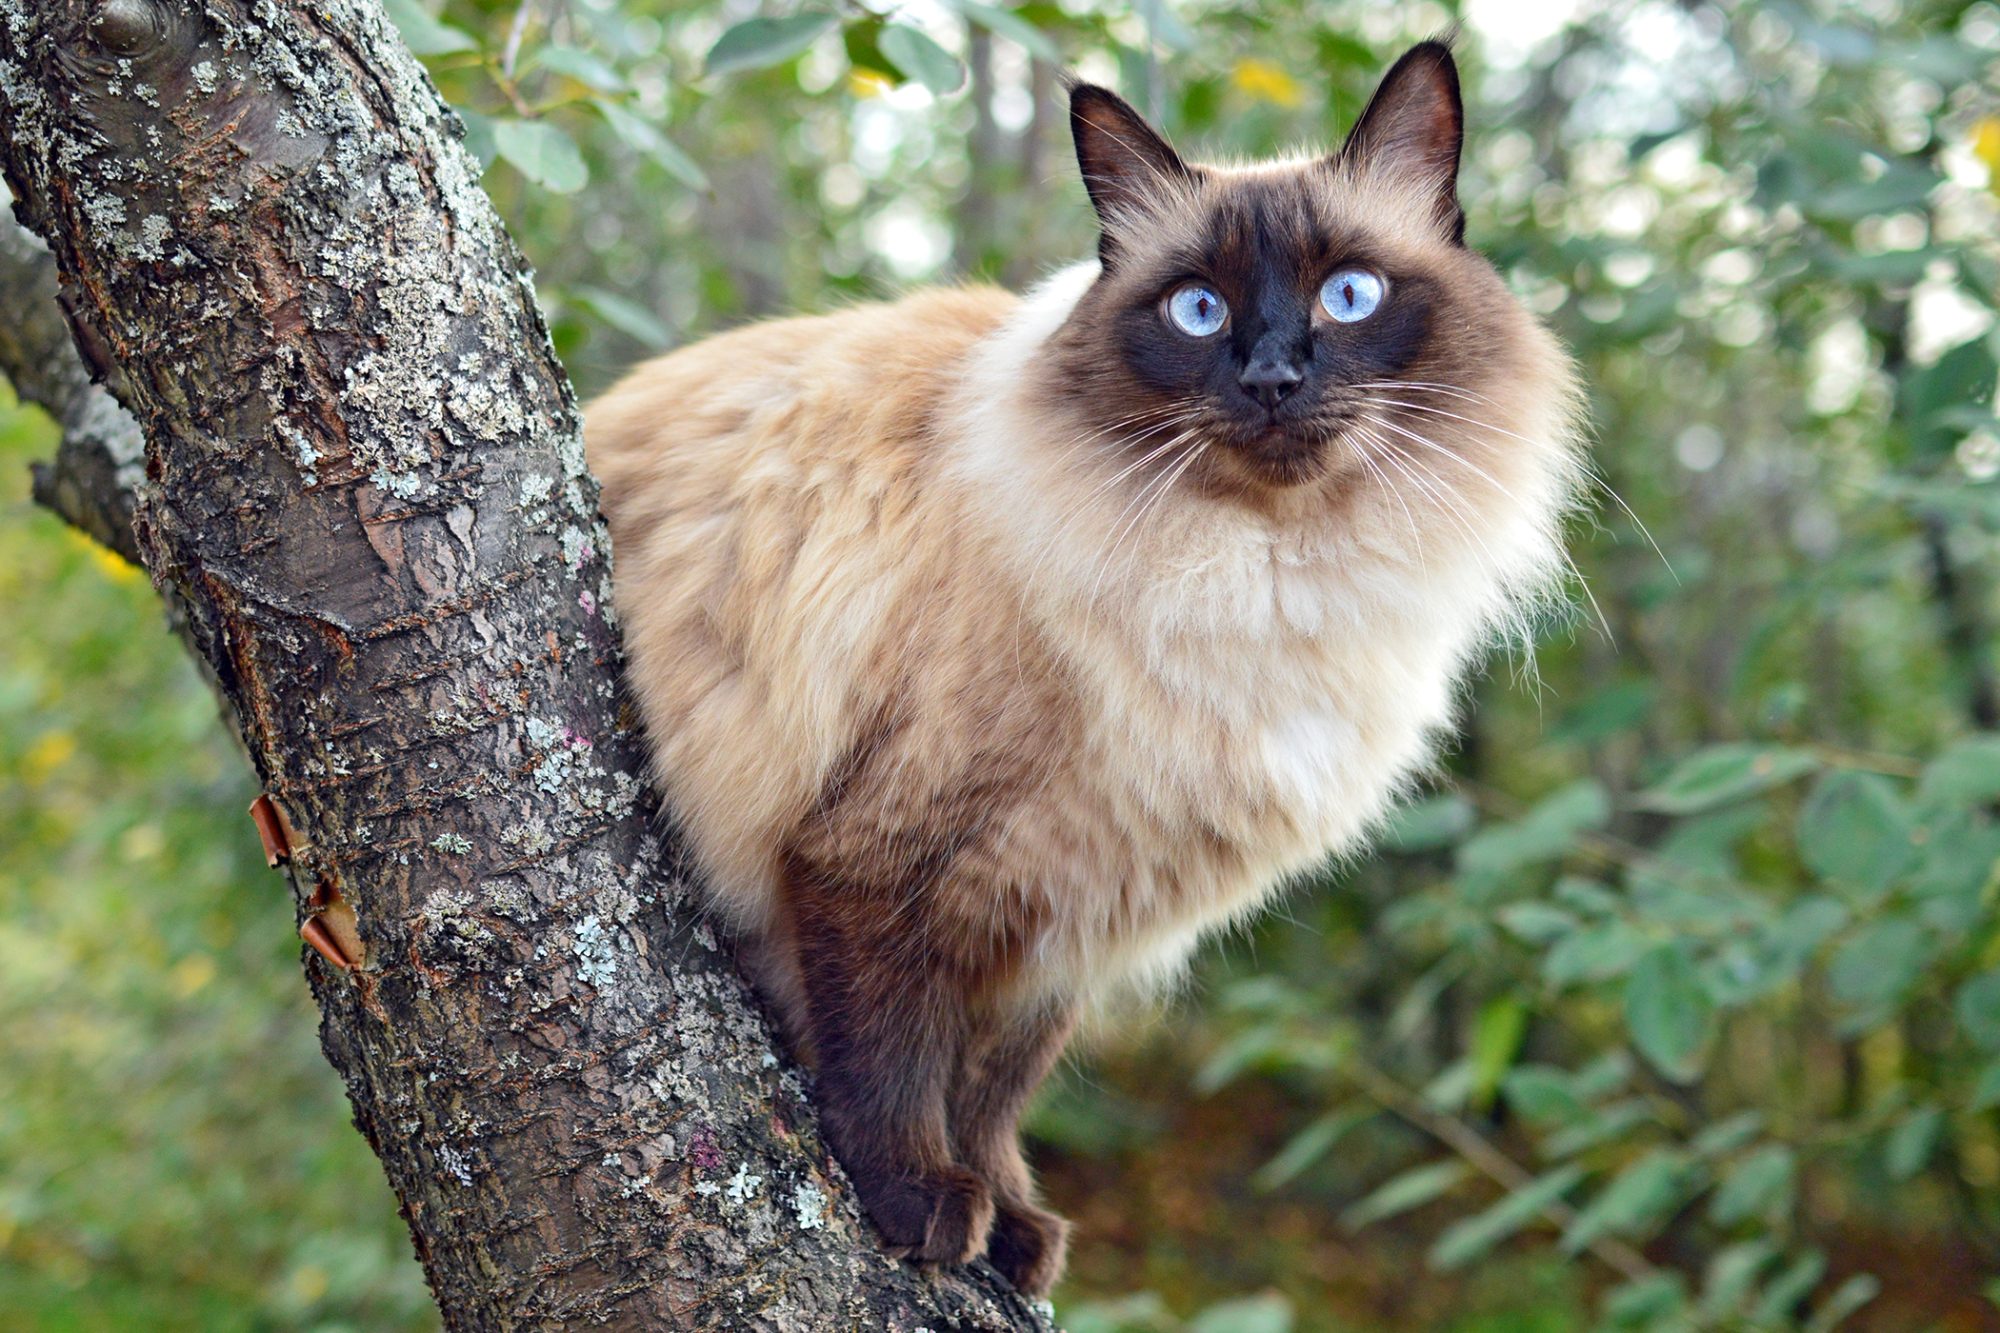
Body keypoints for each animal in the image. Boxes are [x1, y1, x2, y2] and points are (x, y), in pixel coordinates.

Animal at [584, 44, 1584, 1296]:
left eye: (1346, 295)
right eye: (1197, 311)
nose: (1269, 377)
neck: (1265, 584)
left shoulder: (1065, 908)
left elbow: (992, 1092)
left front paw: (1011, 1227)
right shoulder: (883, 862)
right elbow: (891, 1059)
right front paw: (920, 1202)